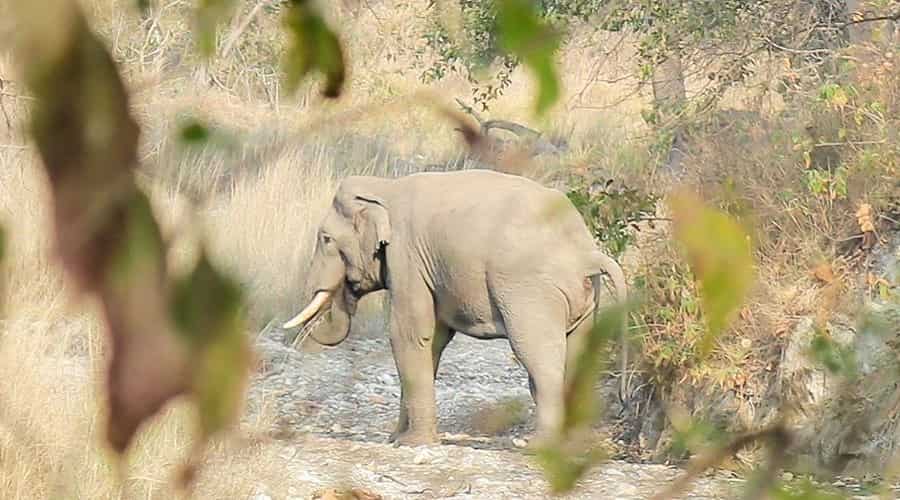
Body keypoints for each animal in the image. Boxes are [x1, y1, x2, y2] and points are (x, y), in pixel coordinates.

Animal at [284, 168, 624, 446]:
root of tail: (586, 255)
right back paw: (574, 446)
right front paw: (397, 439)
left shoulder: (407, 257)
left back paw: (539, 446)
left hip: (531, 292)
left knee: (539, 356)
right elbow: (434, 340)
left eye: (325, 239)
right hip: (584, 297)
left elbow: (409, 333)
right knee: (578, 353)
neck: (384, 187)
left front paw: (412, 444)